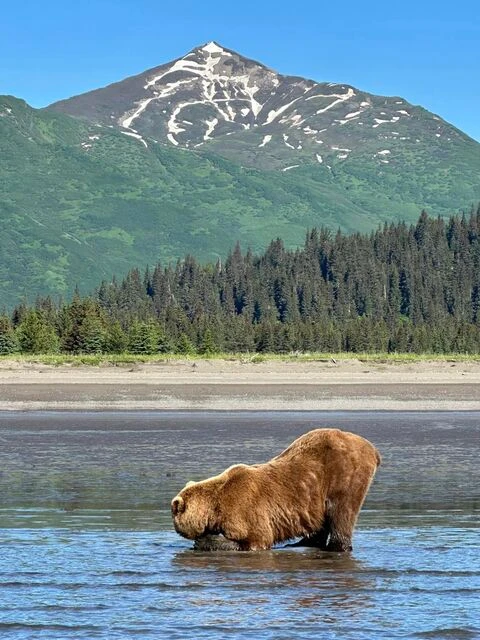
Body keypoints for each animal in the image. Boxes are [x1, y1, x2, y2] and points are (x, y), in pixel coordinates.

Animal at [171, 428, 381, 552]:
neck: (214, 507)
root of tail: (371, 447)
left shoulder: (244, 507)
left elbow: (256, 539)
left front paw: (208, 541)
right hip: (317, 495)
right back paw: (301, 542)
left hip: (344, 476)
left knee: (341, 514)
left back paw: (337, 546)